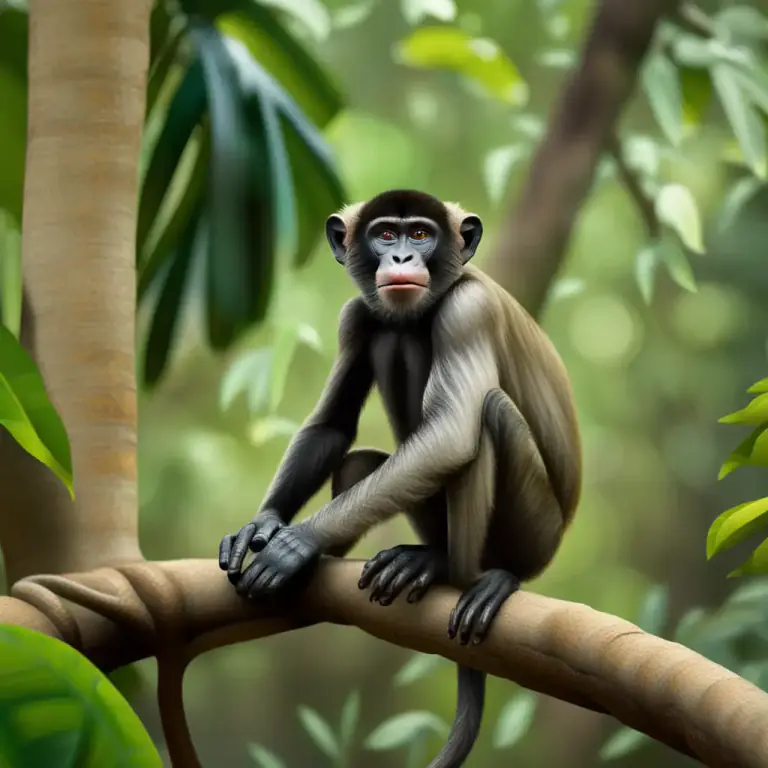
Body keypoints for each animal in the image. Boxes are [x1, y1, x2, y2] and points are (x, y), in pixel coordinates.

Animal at [219, 189, 582, 768]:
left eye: (421, 235)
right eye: (386, 235)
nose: (403, 258)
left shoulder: (467, 313)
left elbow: (452, 435)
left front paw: (296, 544)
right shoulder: (356, 316)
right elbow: (333, 424)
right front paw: (265, 525)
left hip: (537, 529)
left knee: (487, 414)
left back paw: (468, 573)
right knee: (365, 441)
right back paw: (420, 556)